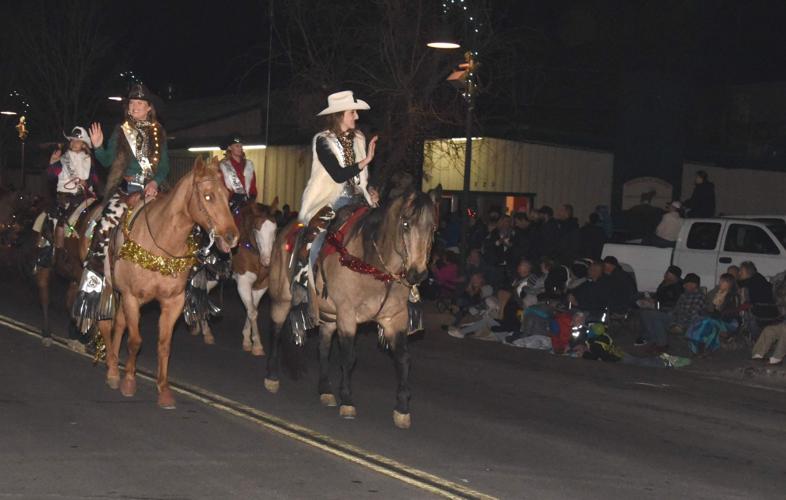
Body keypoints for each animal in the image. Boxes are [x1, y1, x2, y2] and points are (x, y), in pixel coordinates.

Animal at [86, 157, 237, 410]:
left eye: (227, 195)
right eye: (208, 196)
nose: (232, 237)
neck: (161, 243)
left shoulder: (172, 301)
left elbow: (164, 345)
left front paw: (164, 390)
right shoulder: (132, 297)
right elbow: (135, 341)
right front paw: (129, 381)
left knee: (119, 324)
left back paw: (113, 364)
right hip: (106, 285)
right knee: (107, 325)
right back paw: (113, 371)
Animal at [264, 186, 438, 428]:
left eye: (433, 228)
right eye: (405, 223)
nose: (417, 273)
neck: (372, 266)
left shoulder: (396, 318)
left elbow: (403, 359)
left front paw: (402, 408)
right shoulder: (347, 314)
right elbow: (349, 357)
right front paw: (347, 400)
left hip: (328, 315)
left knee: (323, 347)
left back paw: (325, 390)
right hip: (282, 299)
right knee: (276, 331)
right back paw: (271, 378)